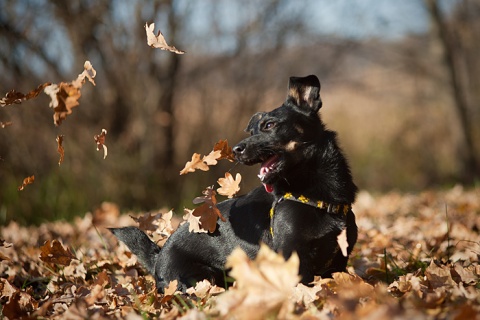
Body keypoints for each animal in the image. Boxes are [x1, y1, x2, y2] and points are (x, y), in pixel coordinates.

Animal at [109, 75, 356, 292]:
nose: (236, 150)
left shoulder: (338, 263)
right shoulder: (292, 259)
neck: (318, 196)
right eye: (253, 130)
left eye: (269, 125)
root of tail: (158, 258)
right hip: (200, 277)